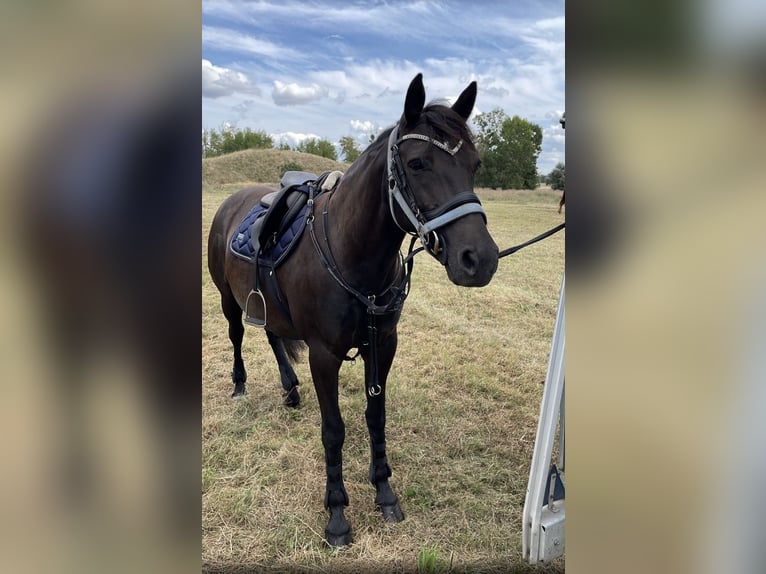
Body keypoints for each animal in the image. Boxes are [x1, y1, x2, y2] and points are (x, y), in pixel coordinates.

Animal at [207, 74, 500, 548]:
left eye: (474, 165)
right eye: (417, 163)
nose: (481, 259)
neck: (352, 254)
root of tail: (235, 200)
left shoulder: (384, 345)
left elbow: (375, 417)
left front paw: (384, 493)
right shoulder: (323, 355)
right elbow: (335, 430)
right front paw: (338, 515)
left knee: (272, 335)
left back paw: (289, 390)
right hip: (229, 300)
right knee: (237, 336)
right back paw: (239, 385)